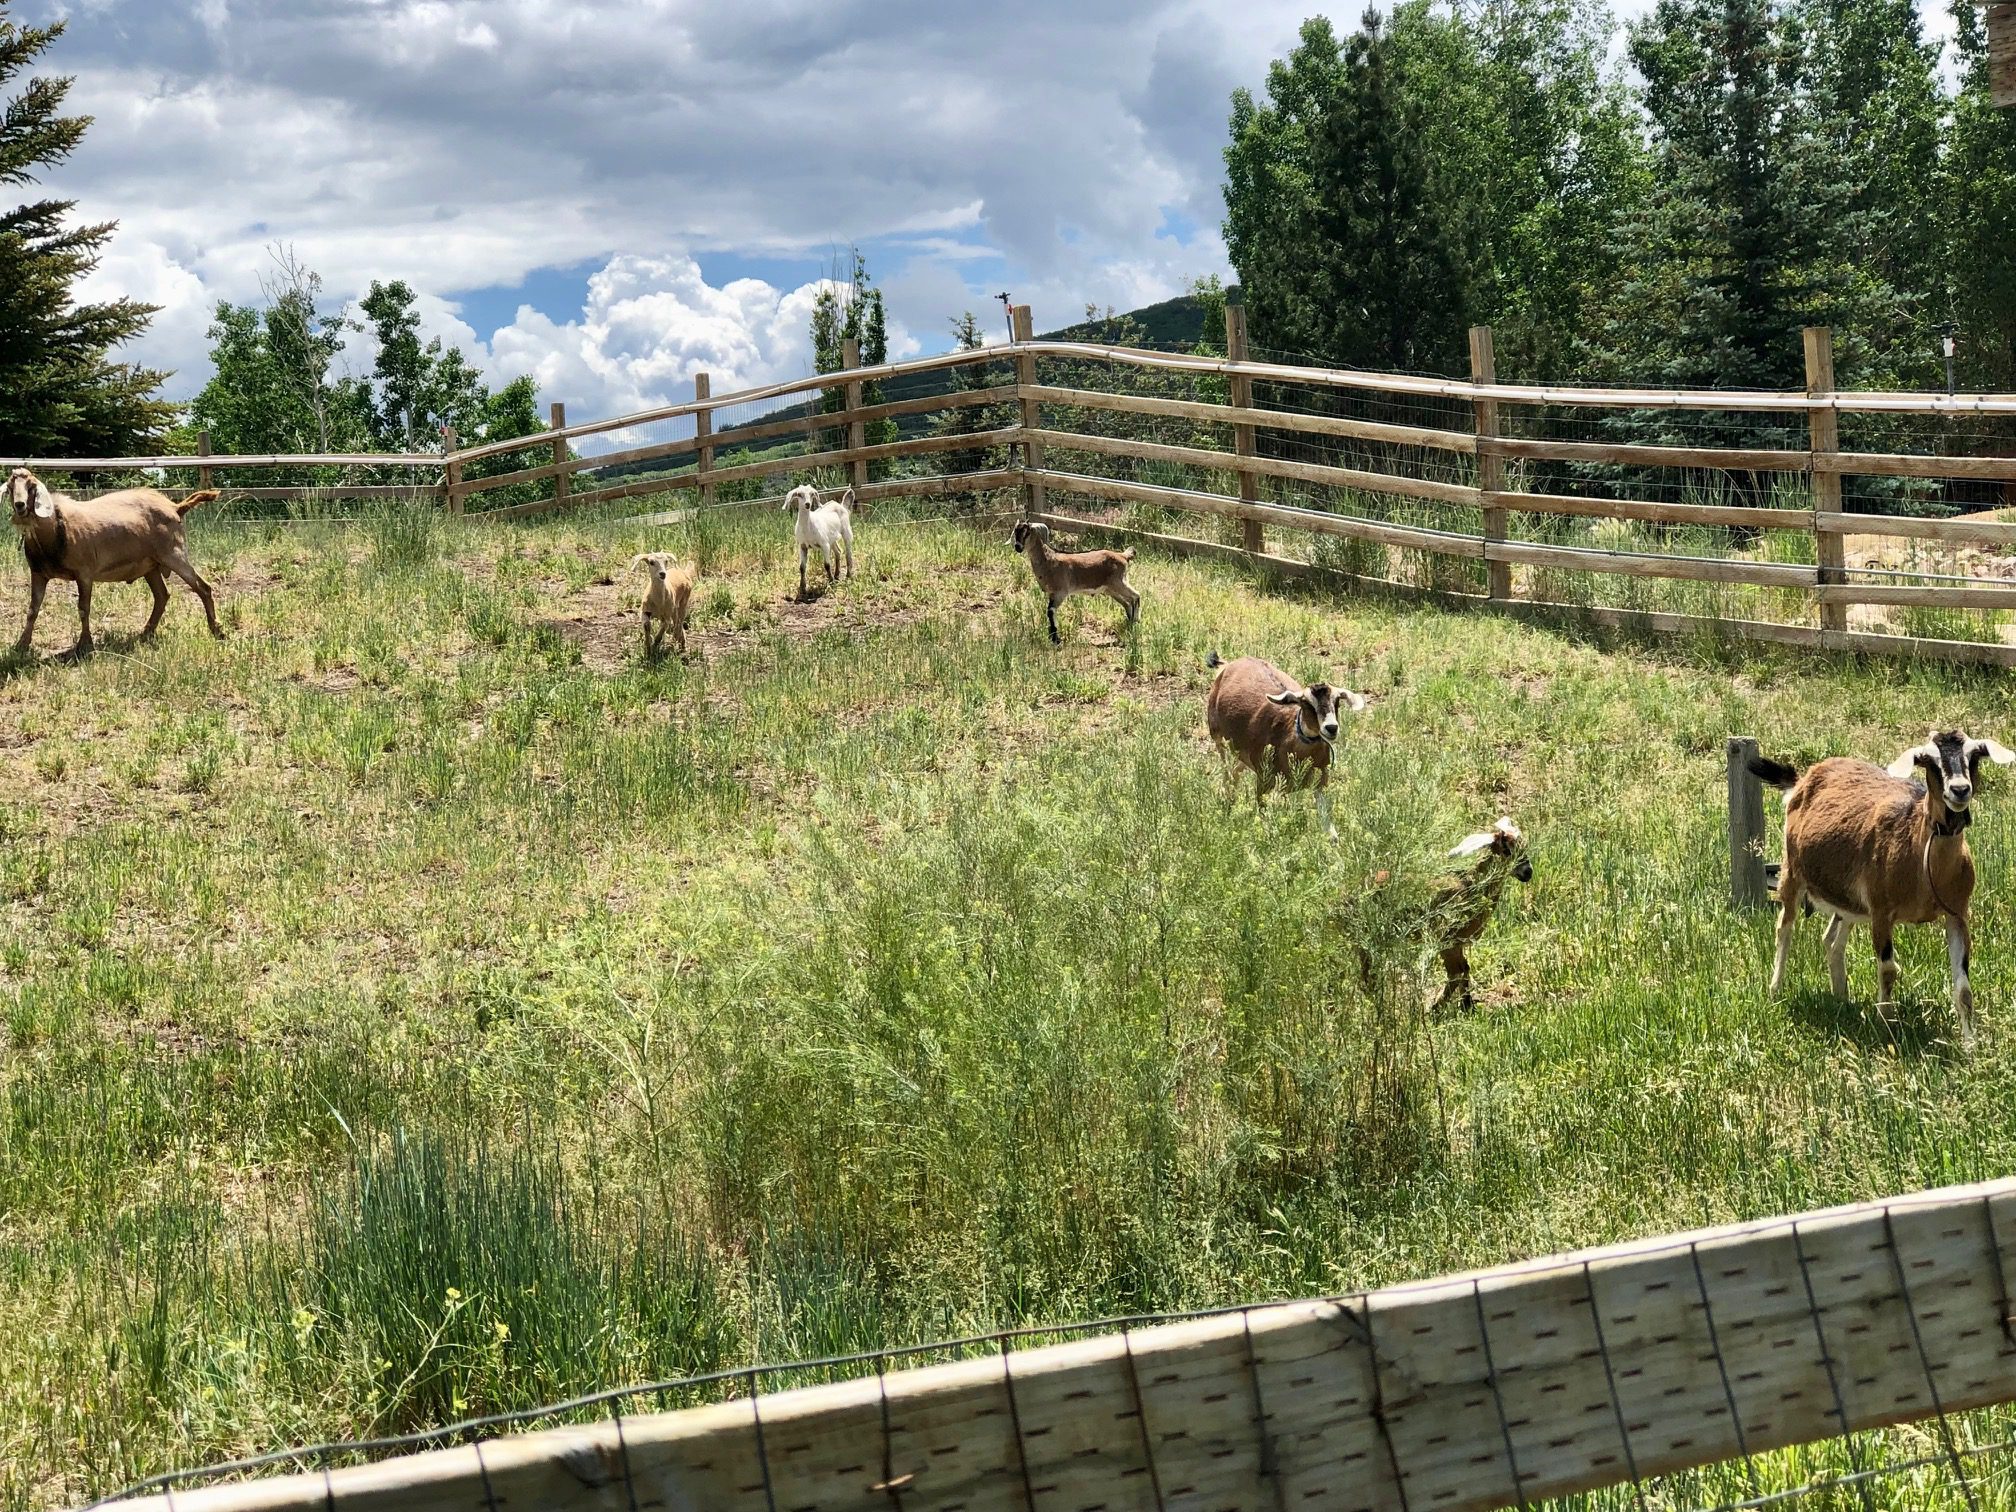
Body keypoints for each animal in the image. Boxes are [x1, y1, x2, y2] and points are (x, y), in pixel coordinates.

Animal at [6, 461, 224, 653]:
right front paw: (21, 645)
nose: (20, 505)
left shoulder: (84, 572)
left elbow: (83, 608)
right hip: (151, 564)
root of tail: (175, 507)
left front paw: (85, 645)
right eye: (10, 487)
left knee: (203, 587)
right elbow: (32, 609)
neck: (56, 528)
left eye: (31, 487)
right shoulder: (38, 573)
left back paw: (217, 630)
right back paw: (146, 632)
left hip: (173, 553)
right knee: (162, 595)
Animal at [1003, 520, 1137, 645]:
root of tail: (1123, 556)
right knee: (1127, 603)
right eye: (1016, 531)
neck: (1049, 561)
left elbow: (1050, 611)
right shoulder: (1052, 593)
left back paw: (1136, 622)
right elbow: (1049, 611)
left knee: (1135, 596)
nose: (1018, 547)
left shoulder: (1061, 592)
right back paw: (1130, 623)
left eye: (1027, 532)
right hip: (1110, 589)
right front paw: (1052, 637)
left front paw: (1056, 639)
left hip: (1119, 581)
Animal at [1193, 653, 1370, 842]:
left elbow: (1332, 834)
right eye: (1306, 703)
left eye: (1337, 701)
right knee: (1227, 774)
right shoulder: (1264, 781)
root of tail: (1228, 665)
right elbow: (1264, 814)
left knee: (1235, 771)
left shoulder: (1319, 785)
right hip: (1219, 740)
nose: (1331, 728)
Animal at [1749, 733, 2016, 1056]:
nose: (1960, 790)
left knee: (1831, 940)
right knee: (1784, 928)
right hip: (1792, 871)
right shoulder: (1881, 912)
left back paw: (1842, 997)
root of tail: (1805, 777)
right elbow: (1888, 970)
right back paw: (1776, 990)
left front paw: (1970, 1047)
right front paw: (1886, 1028)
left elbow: (1964, 990)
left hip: (1849, 901)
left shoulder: (1957, 914)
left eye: (1975, 755)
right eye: (1928, 761)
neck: (1921, 858)